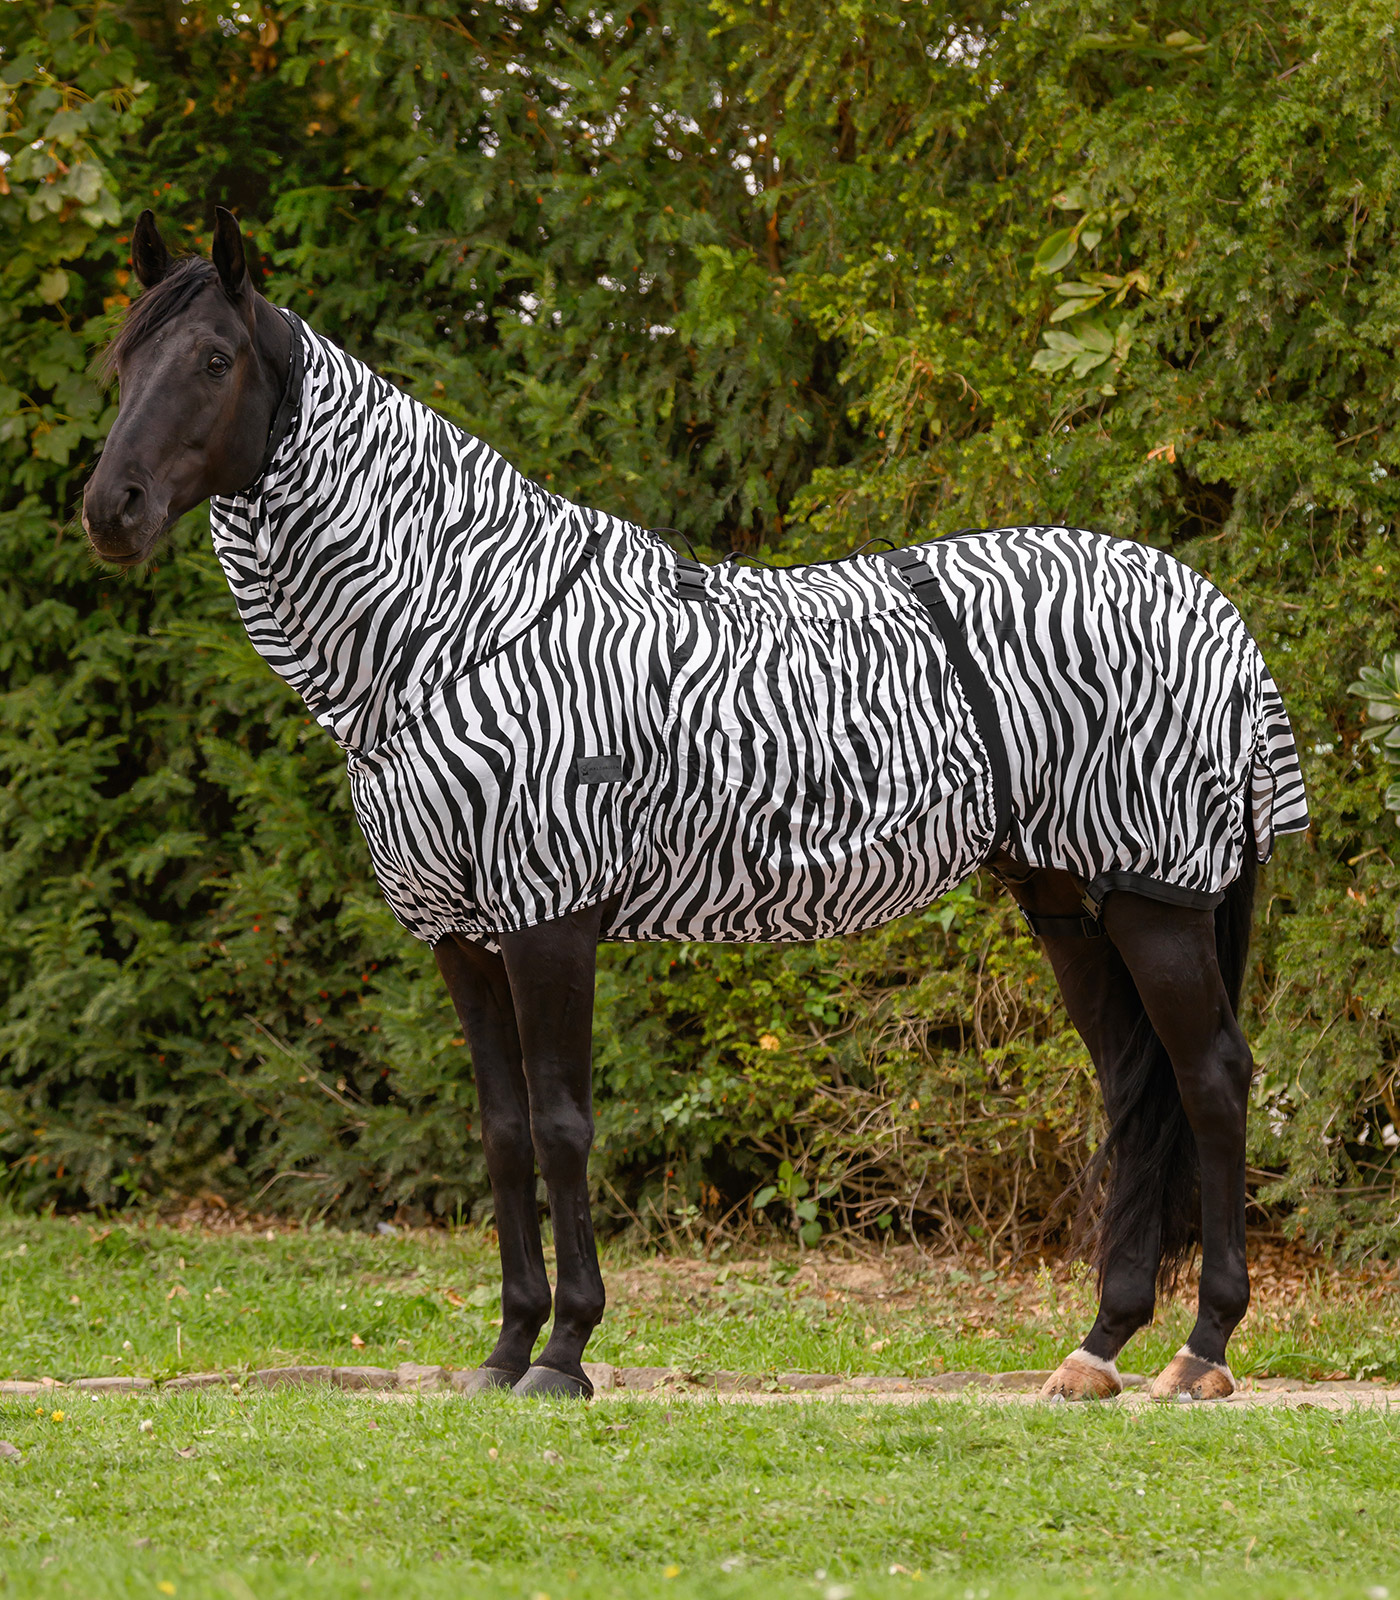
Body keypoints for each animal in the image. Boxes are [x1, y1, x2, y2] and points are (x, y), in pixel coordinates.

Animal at [83, 208, 1308, 1404]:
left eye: (213, 359)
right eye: (123, 360)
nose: (110, 511)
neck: (458, 626)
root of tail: (1214, 612)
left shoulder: (550, 916)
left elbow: (564, 1126)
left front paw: (564, 1353)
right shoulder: (459, 936)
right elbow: (501, 1133)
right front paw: (504, 1350)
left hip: (1154, 897)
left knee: (1209, 1079)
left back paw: (1201, 1350)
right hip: (1067, 901)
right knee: (1134, 1090)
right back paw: (1098, 1348)